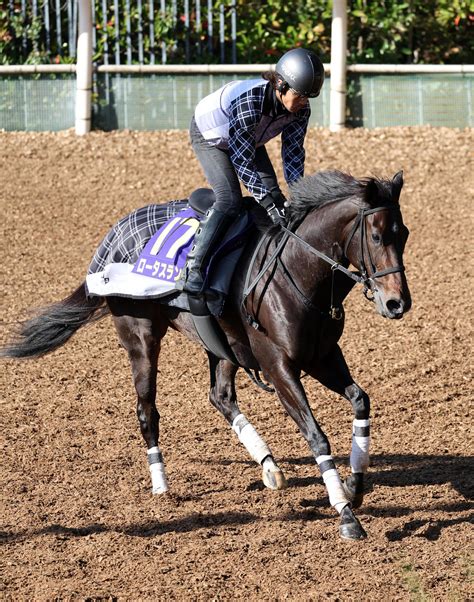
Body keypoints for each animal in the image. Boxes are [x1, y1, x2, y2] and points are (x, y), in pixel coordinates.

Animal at [1, 168, 412, 540]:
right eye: (376, 235)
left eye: (404, 234)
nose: (397, 303)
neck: (297, 272)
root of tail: (111, 237)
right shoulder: (278, 365)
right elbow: (316, 435)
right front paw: (345, 513)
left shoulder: (322, 356)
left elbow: (360, 400)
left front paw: (355, 486)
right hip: (140, 335)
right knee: (147, 409)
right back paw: (162, 485)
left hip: (221, 345)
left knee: (220, 396)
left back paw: (269, 466)